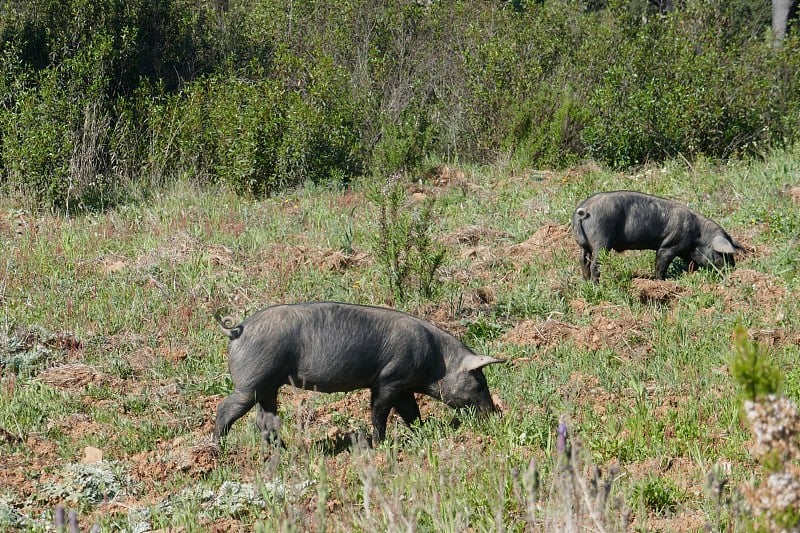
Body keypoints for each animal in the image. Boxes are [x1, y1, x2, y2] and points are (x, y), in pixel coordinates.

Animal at [212, 302, 500, 442]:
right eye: (479, 382)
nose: (495, 413)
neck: (436, 361)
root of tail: (237, 329)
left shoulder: (403, 387)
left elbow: (411, 413)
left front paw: (421, 431)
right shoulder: (389, 379)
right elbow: (379, 412)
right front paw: (379, 443)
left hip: (269, 386)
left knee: (264, 421)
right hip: (251, 382)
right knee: (225, 410)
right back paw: (217, 447)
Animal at [572, 192, 740, 282]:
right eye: (723, 254)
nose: (733, 269)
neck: (697, 237)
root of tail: (584, 210)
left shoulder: (686, 251)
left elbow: (692, 264)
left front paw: (692, 274)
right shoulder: (668, 246)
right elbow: (660, 264)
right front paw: (661, 281)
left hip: (584, 245)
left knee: (583, 260)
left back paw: (586, 282)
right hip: (601, 240)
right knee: (595, 264)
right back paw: (596, 285)